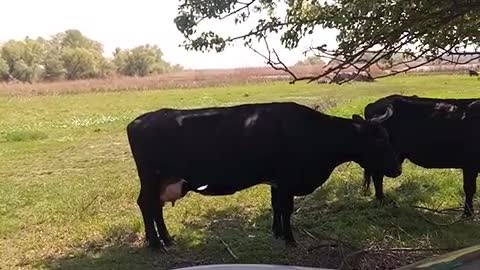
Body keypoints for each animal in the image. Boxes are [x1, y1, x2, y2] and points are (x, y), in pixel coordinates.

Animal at [127, 102, 402, 250]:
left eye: (388, 137)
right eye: (380, 140)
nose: (398, 169)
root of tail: (139, 121)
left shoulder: (277, 182)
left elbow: (276, 207)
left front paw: (277, 233)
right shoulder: (288, 179)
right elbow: (287, 209)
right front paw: (290, 240)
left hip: (162, 181)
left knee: (155, 207)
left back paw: (167, 239)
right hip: (151, 178)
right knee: (146, 204)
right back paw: (154, 243)